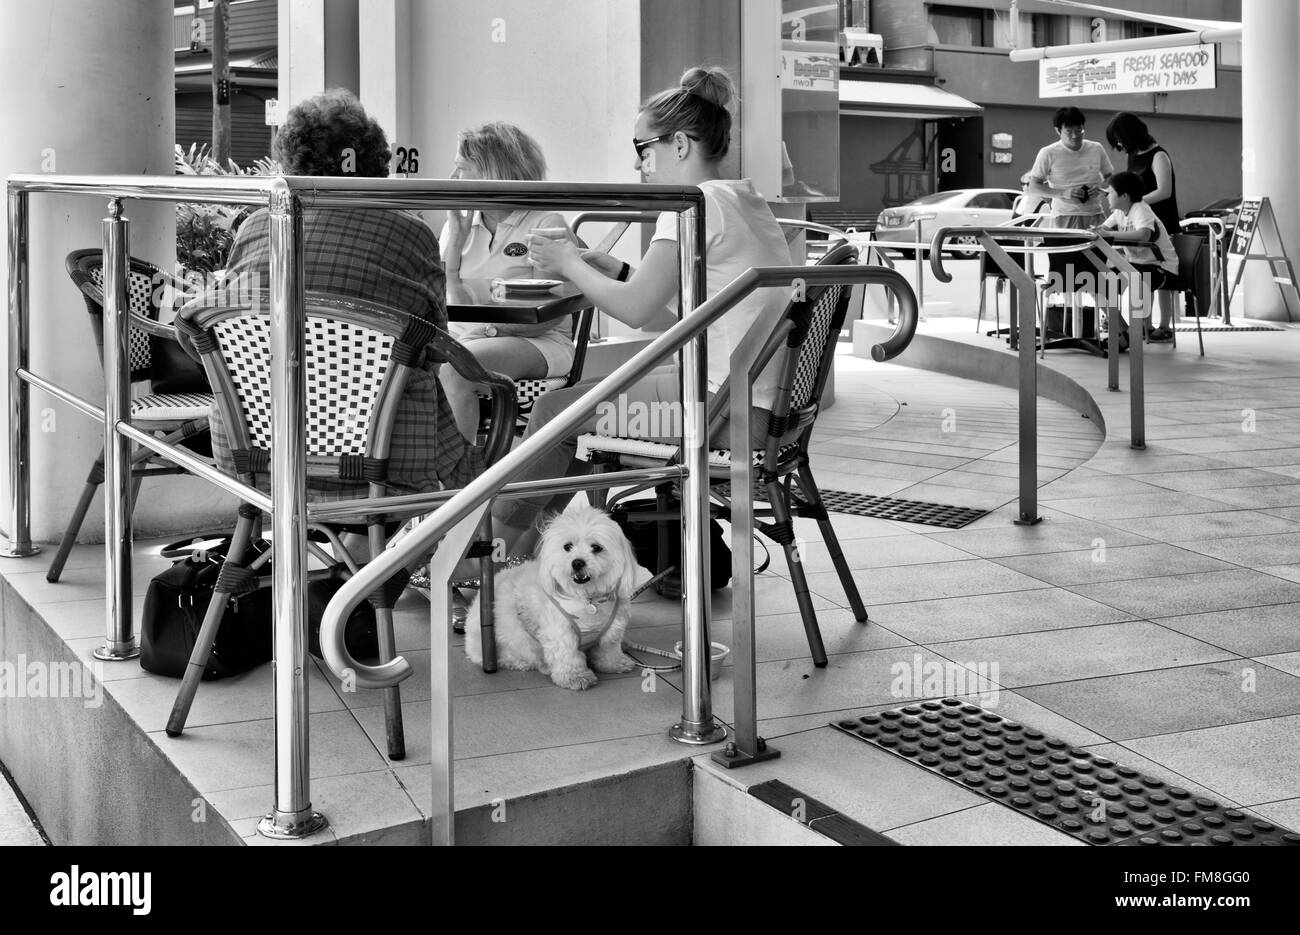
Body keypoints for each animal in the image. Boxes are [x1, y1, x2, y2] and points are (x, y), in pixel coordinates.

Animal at [467, 507, 639, 691]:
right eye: (567, 546)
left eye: (597, 547)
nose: (577, 563)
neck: (587, 598)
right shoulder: (560, 630)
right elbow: (567, 653)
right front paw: (575, 677)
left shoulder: (612, 627)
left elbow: (609, 648)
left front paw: (614, 664)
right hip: (508, 640)